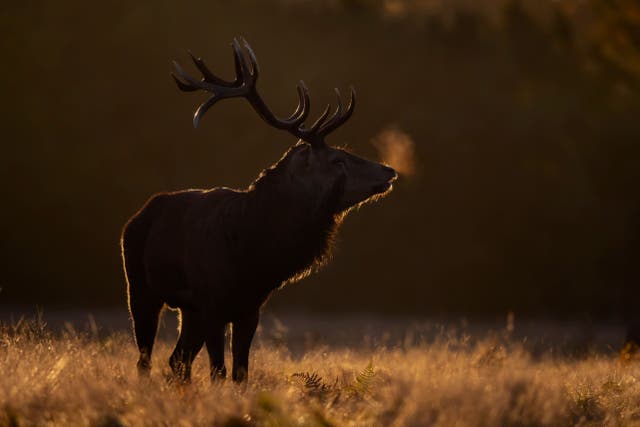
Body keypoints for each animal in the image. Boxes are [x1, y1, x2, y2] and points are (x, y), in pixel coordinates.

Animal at [120, 38, 396, 382]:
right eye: (338, 159)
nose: (389, 170)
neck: (252, 255)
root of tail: (136, 218)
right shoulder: (211, 304)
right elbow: (219, 371)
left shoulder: (249, 309)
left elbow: (240, 372)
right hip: (140, 289)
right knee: (145, 359)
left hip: (188, 311)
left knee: (176, 362)